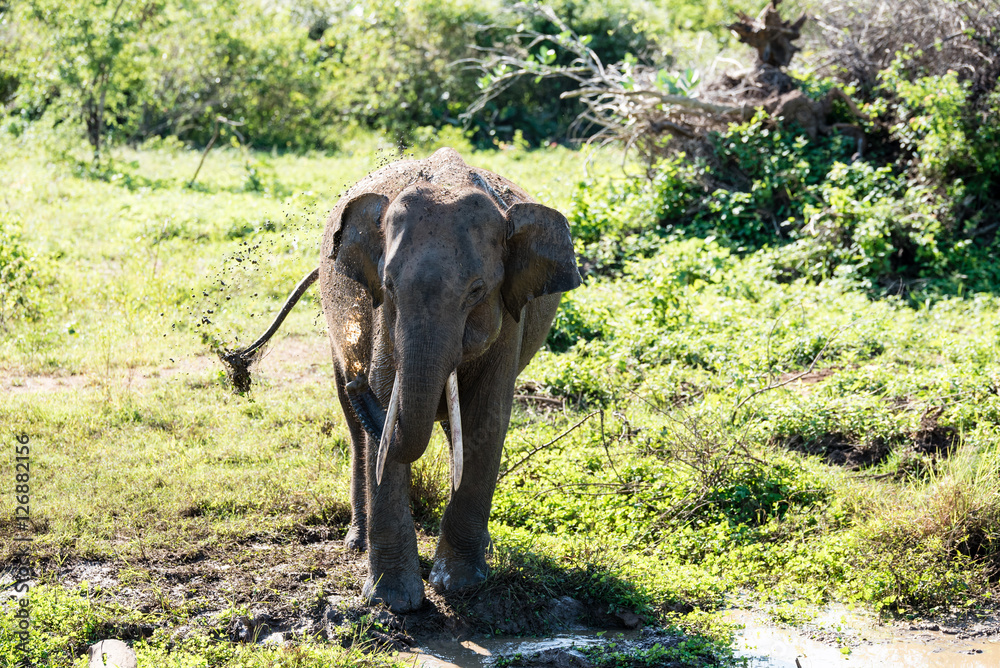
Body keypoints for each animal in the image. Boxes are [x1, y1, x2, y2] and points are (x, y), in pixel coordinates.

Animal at [221, 147, 581, 612]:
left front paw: (460, 586)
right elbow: (388, 414)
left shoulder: (508, 316)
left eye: (477, 290)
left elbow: (486, 418)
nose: (357, 384)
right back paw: (357, 541)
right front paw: (393, 602)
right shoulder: (382, 319)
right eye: (388, 284)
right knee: (358, 431)